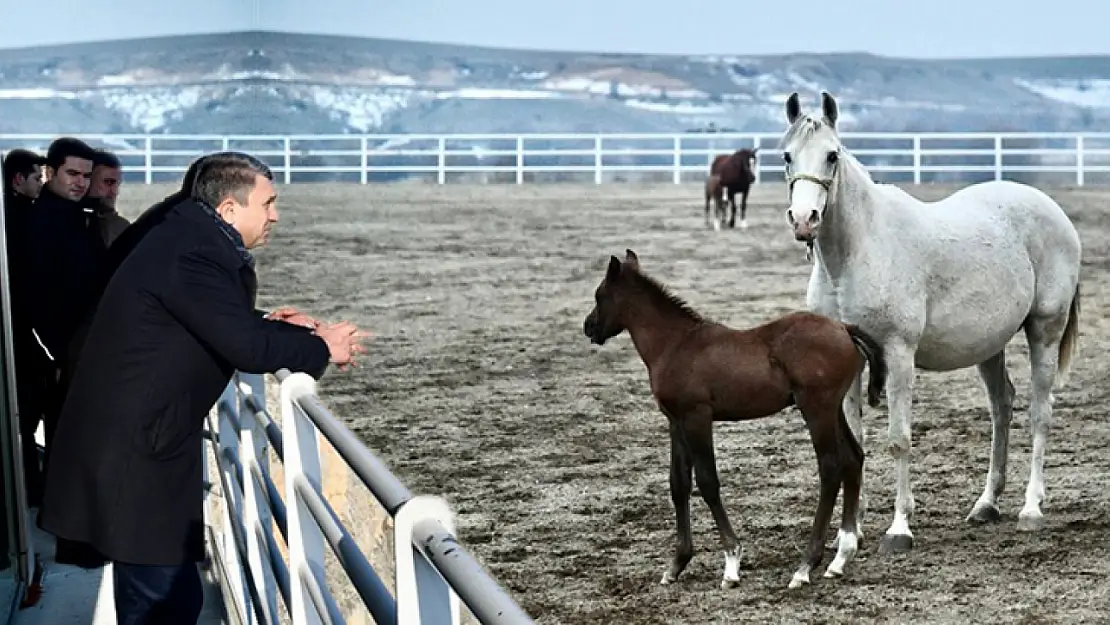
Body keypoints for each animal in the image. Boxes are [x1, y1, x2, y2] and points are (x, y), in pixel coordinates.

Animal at [581, 248, 883, 590]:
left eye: (600, 295)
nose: (589, 327)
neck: (676, 344)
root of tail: (844, 329)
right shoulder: (676, 421)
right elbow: (678, 484)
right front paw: (676, 564)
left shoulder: (697, 417)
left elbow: (708, 482)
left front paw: (731, 563)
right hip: (832, 408)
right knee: (853, 459)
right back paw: (841, 556)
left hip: (816, 408)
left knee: (831, 468)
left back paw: (806, 566)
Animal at [777, 90, 1078, 586]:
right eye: (786, 155)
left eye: (832, 155)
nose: (805, 220)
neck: (858, 250)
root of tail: (1053, 210)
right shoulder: (850, 362)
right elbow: (854, 444)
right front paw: (852, 532)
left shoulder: (898, 353)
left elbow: (898, 438)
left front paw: (899, 529)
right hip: (989, 346)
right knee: (1002, 407)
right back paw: (986, 505)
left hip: (1044, 331)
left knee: (1040, 412)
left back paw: (1031, 509)